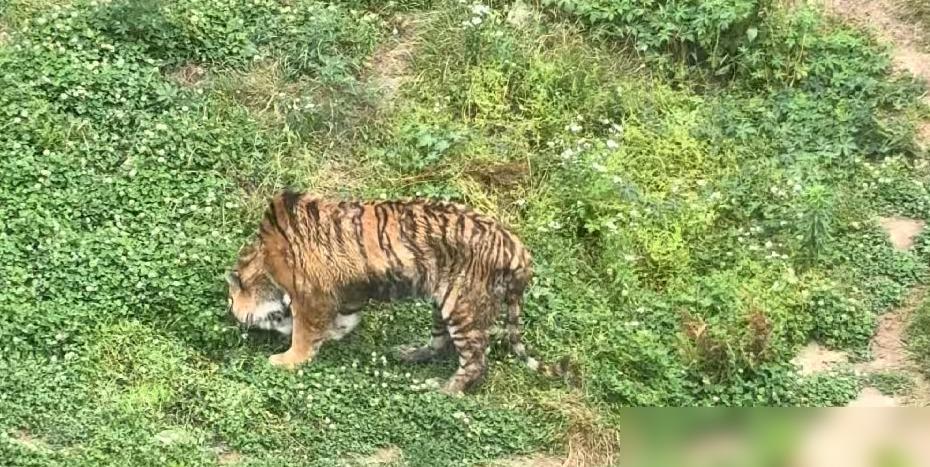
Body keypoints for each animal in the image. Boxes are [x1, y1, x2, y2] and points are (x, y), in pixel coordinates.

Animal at [225, 191, 569, 394]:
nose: (232, 313)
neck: (264, 264)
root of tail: (518, 248)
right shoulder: (349, 291)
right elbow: (345, 319)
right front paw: (333, 336)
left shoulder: (312, 294)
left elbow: (305, 333)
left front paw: (287, 359)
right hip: (442, 302)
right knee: (439, 342)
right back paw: (408, 353)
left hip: (463, 306)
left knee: (475, 361)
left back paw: (443, 390)